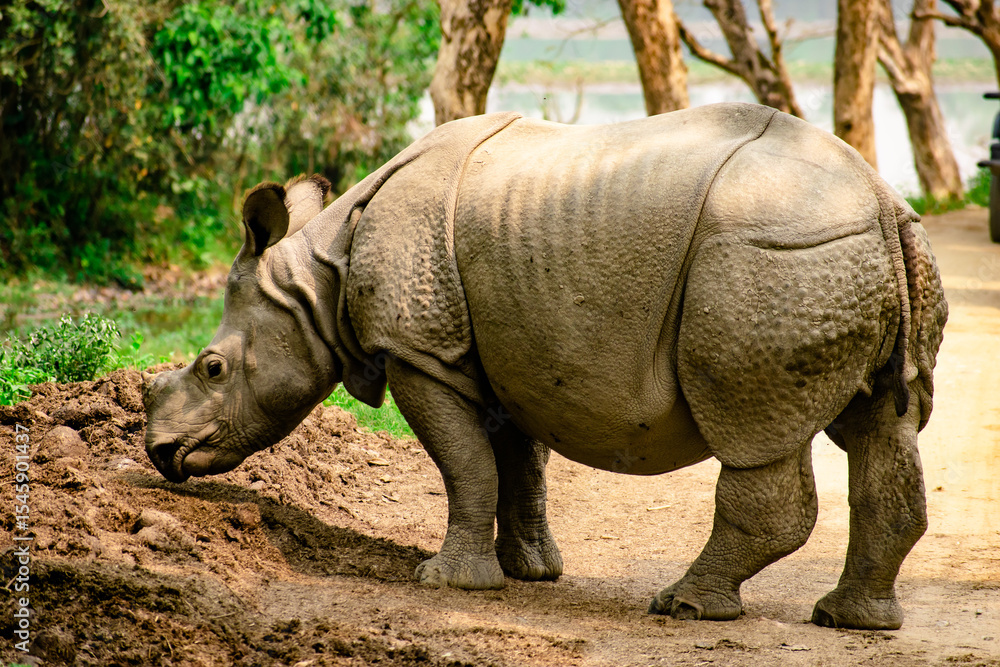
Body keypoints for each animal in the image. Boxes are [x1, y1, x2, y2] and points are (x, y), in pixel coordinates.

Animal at [143, 103, 947, 630]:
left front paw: (447, 583)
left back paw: (683, 606)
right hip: (847, 256)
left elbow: (465, 463)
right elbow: (513, 461)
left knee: (756, 433)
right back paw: (852, 620)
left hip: (773, 256)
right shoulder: (504, 347)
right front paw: (530, 570)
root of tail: (881, 200)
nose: (160, 454)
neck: (315, 285)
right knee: (883, 424)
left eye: (212, 369)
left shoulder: (421, 351)